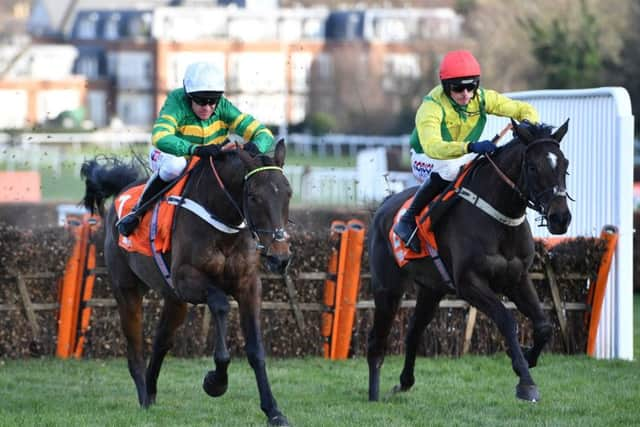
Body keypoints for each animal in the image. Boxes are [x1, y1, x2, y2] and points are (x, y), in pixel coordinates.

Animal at [79, 140, 294, 424]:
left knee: (161, 341)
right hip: (126, 288)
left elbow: (256, 350)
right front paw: (216, 381)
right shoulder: (185, 279)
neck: (221, 222)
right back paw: (144, 396)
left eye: (288, 193)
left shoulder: (248, 285)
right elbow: (220, 304)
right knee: (135, 348)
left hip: (174, 299)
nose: (280, 257)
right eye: (253, 196)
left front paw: (274, 411)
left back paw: (151, 390)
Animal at [368, 119, 572, 404]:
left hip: (431, 290)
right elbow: (506, 320)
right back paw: (374, 395)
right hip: (388, 288)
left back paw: (404, 383)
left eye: (565, 164)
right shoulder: (469, 284)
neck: (500, 220)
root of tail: (384, 206)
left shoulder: (518, 279)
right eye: (532, 167)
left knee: (414, 331)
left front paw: (527, 357)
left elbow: (544, 326)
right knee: (377, 341)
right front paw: (526, 382)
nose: (560, 218)